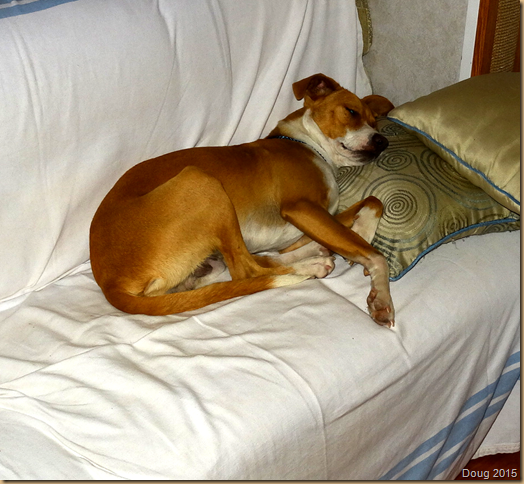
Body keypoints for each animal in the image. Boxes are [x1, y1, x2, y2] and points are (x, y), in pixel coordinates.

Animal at [90, 73, 396, 327]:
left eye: (375, 121)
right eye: (351, 111)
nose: (382, 142)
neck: (308, 145)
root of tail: (109, 283)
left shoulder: (319, 216)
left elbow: (373, 200)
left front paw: (361, 230)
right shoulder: (301, 208)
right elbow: (375, 254)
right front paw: (381, 295)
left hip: (207, 254)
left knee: (255, 264)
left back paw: (315, 254)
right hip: (201, 182)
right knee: (247, 270)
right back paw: (312, 265)